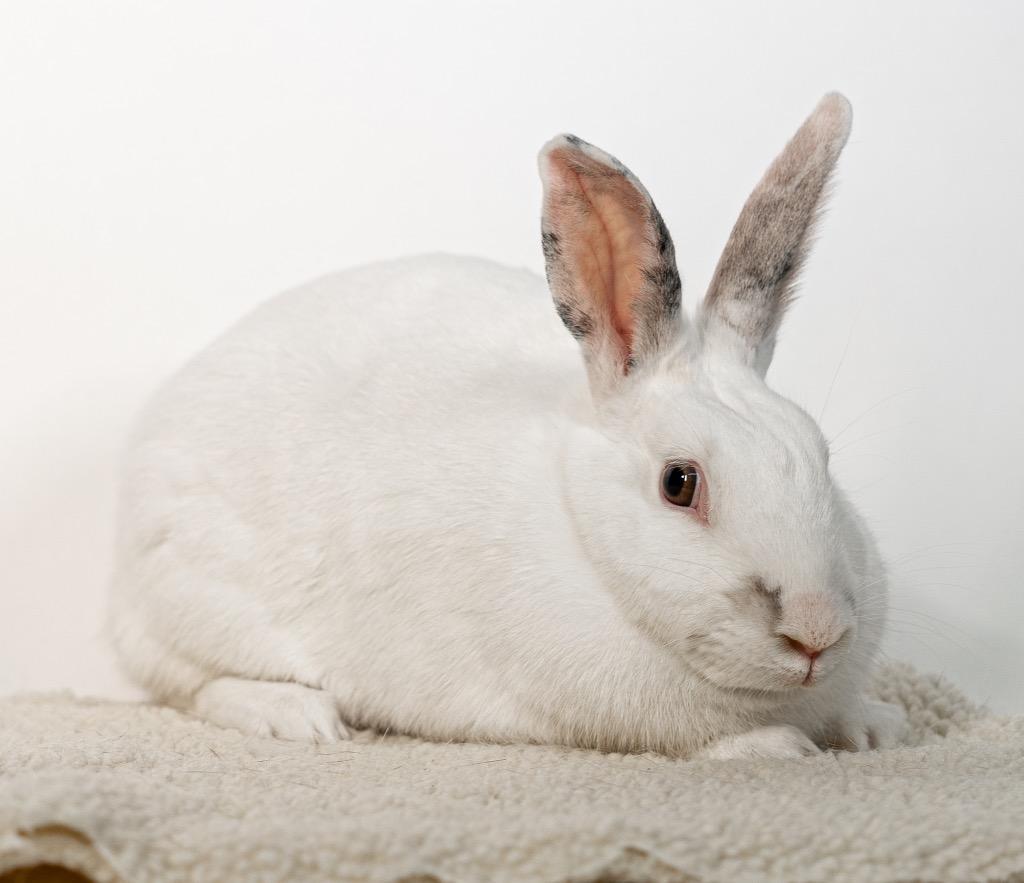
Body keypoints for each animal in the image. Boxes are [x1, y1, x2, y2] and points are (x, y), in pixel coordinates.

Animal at [107, 92, 907, 760]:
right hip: (191, 599)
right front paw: (777, 746)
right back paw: (297, 716)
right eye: (679, 483)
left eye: (822, 457)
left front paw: (879, 725)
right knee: (194, 685)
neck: (581, 526)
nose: (817, 631)